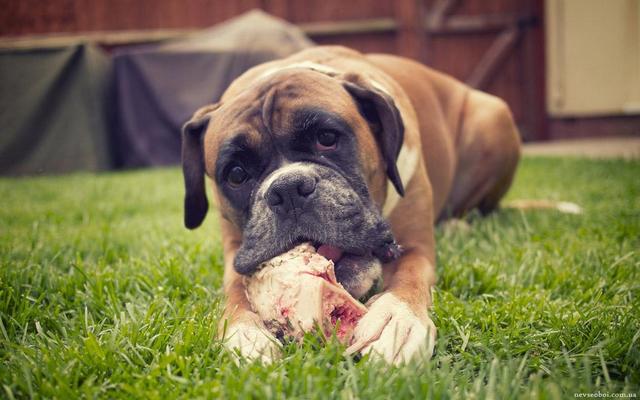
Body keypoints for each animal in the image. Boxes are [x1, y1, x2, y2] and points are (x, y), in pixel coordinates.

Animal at [180, 45, 520, 364]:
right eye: (236, 174)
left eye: (327, 138)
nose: (288, 188)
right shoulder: (236, 257)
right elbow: (236, 293)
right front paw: (244, 334)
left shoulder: (416, 248)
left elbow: (409, 276)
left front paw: (397, 319)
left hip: (493, 116)